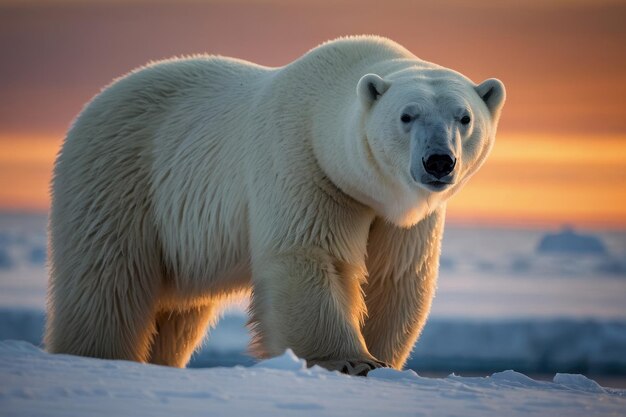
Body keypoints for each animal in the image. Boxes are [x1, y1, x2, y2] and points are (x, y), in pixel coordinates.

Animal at [44, 35, 502, 374]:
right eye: (407, 116)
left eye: (464, 117)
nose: (438, 160)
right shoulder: (303, 163)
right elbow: (307, 254)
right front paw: (349, 361)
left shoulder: (401, 219)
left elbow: (398, 275)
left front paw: (383, 359)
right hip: (121, 177)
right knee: (108, 279)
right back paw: (98, 354)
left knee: (181, 312)